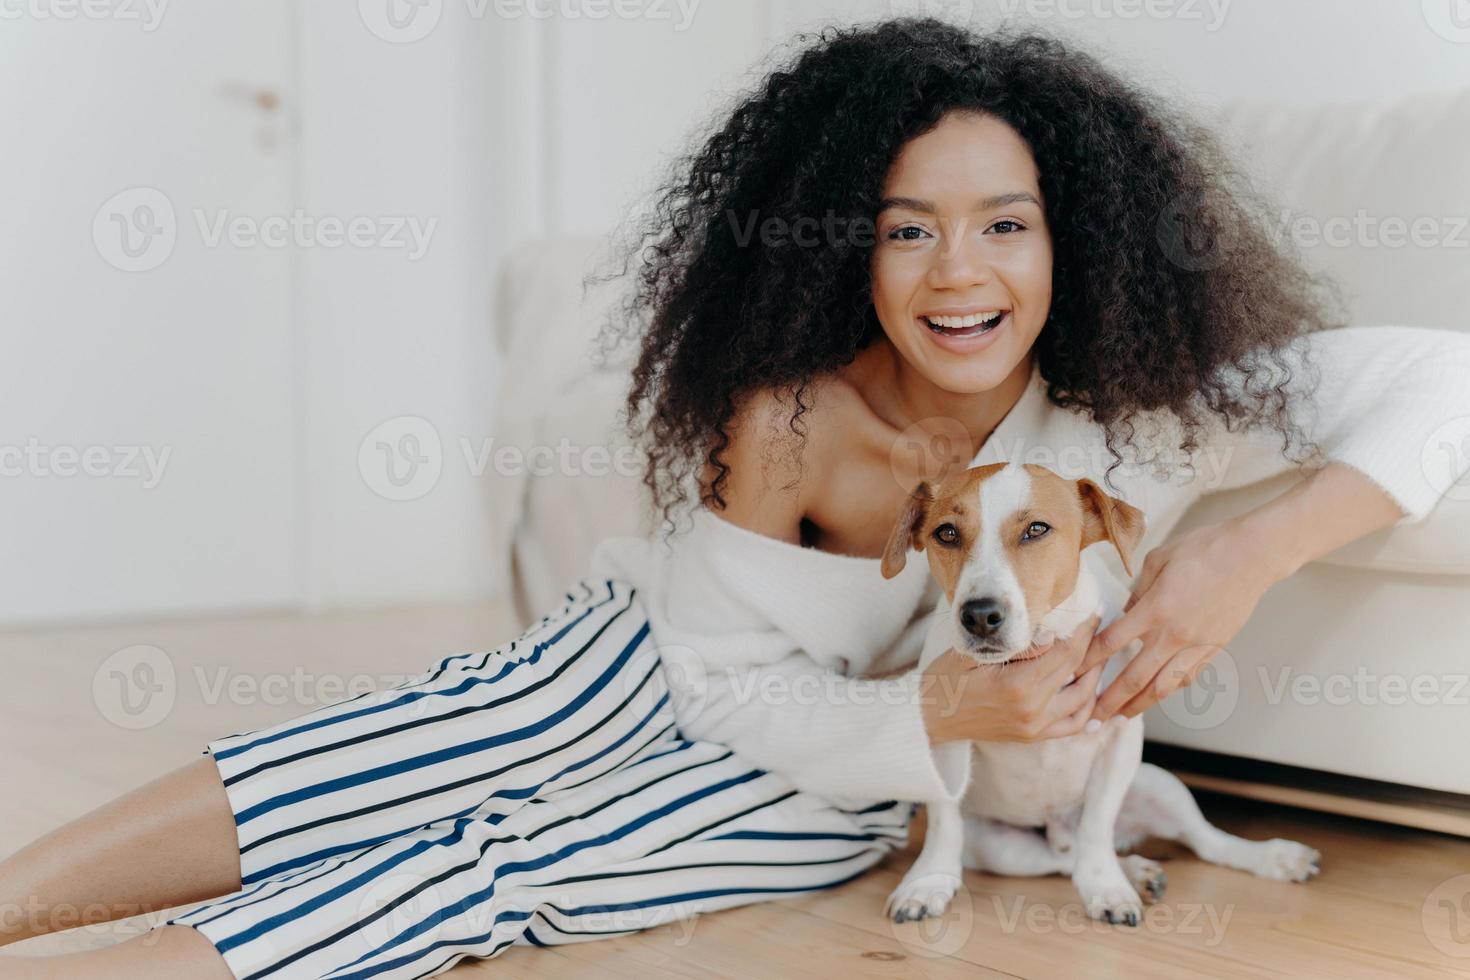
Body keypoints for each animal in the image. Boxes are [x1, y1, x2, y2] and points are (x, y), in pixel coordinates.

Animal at [876, 464, 1317, 922]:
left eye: (1036, 529)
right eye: (946, 533)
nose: (979, 615)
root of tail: (1058, 829)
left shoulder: (1120, 738)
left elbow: (1098, 823)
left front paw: (1106, 886)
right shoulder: (944, 743)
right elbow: (944, 821)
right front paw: (928, 882)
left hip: (1158, 785)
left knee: (1204, 839)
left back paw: (1271, 858)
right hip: (998, 845)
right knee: (1060, 859)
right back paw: (1136, 871)